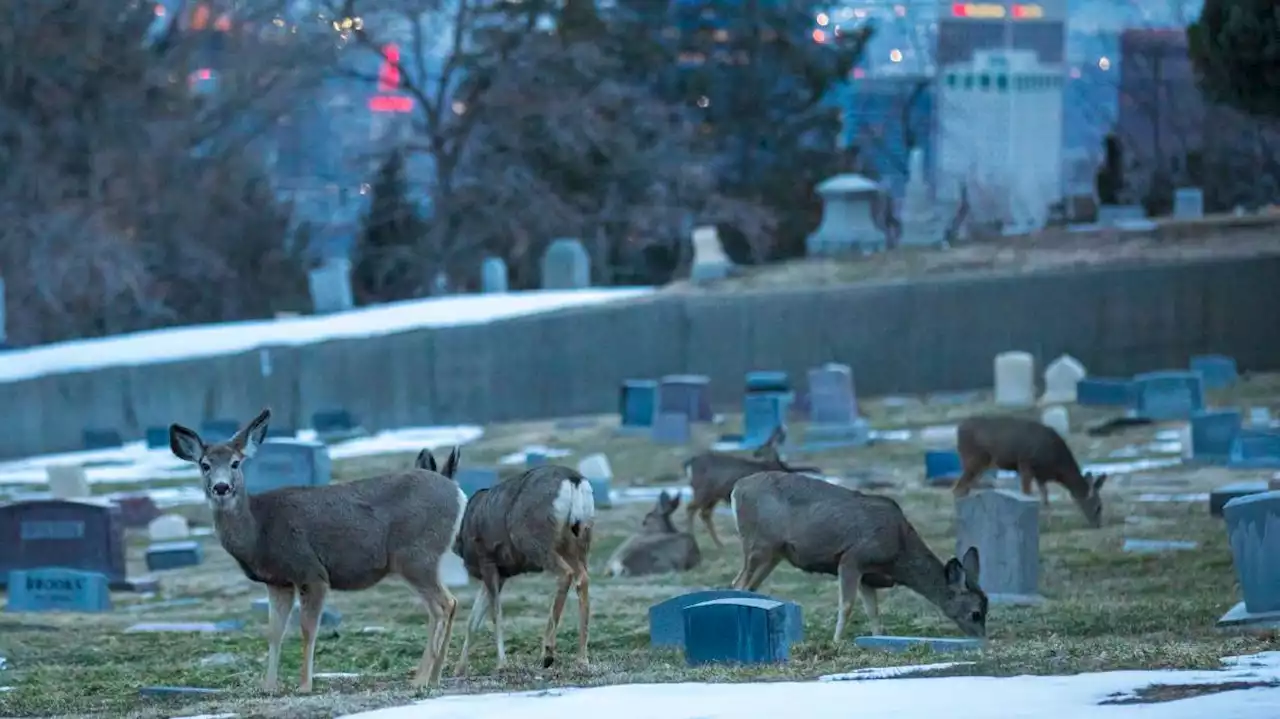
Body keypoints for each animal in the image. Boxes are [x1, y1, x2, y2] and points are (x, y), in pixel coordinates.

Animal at [167, 409, 468, 695]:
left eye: (235, 463)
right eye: (205, 465)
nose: (221, 487)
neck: (258, 531)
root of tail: (458, 493)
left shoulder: (310, 570)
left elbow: (307, 629)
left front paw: (304, 685)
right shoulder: (278, 582)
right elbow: (274, 632)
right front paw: (268, 686)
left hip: (415, 555)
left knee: (442, 605)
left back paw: (420, 679)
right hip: (424, 558)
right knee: (449, 603)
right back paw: (435, 677)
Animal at [424, 450, 593, 675]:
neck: (462, 527)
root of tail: (574, 481)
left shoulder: (488, 561)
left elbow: (495, 614)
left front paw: (501, 663)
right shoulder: (500, 572)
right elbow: (473, 621)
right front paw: (459, 669)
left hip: (534, 540)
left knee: (565, 574)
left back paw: (547, 652)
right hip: (579, 541)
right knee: (583, 578)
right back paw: (582, 658)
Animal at [680, 422, 819, 545]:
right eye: (765, 443)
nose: (755, 453)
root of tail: (689, 463)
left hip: (713, 495)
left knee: (704, 513)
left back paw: (719, 544)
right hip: (703, 490)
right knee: (691, 509)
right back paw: (692, 538)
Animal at [732, 468, 988, 639]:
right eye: (976, 613)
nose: (982, 639)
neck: (898, 552)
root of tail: (736, 489)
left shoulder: (868, 576)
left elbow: (873, 611)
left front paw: (878, 638)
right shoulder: (852, 559)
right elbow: (847, 605)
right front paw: (837, 641)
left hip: (774, 553)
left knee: (748, 586)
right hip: (759, 543)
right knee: (739, 584)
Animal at [957, 411, 1105, 524]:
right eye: (1098, 506)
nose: (1098, 525)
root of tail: (959, 428)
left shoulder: (1041, 476)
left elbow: (1045, 498)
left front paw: (1048, 521)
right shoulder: (1026, 463)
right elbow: (1027, 493)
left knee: (964, 487)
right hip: (974, 458)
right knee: (958, 487)